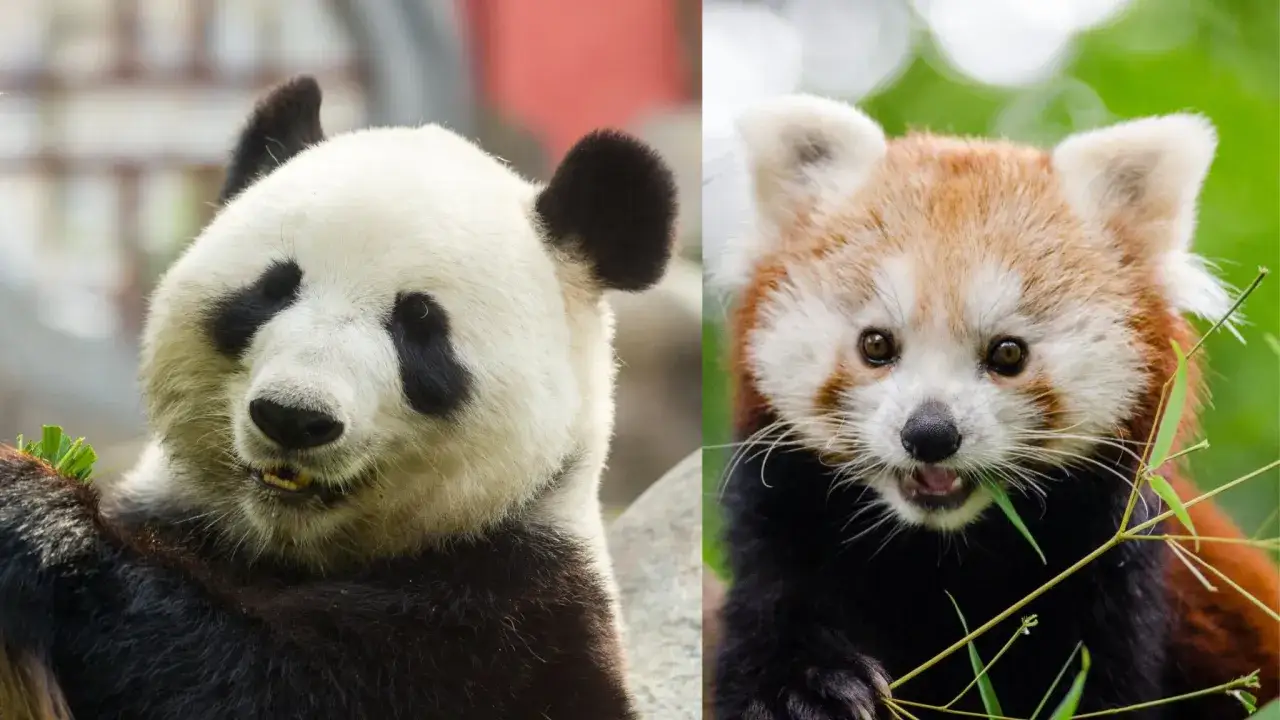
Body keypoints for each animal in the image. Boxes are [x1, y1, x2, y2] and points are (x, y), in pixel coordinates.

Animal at [0, 75, 677, 720]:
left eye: (418, 321)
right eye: (274, 288)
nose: (294, 417)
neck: (287, 548)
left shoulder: (517, 622)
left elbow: (264, 680)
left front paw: (42, 521)